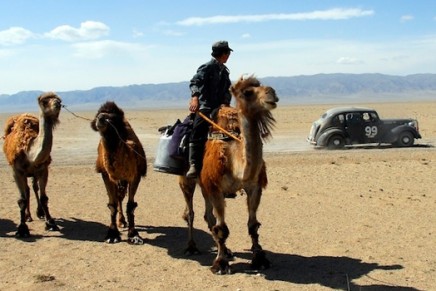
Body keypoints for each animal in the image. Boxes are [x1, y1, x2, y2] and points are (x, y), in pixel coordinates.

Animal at [2, 92, 62, 238]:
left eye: (59, 99)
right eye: (44, 101)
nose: (57, 103)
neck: (29, 153)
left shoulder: (43, 169)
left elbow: (44, 197)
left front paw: (50, 223)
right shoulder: (16, 171)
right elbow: (21, 200)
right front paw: (22, 228)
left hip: (33, 173)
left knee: (34, 188)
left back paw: (39, 213)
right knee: (27, 191)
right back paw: (28, 216)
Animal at [91, 101, 147, 245]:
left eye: (112, 118)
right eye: (98, 115)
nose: (100, 119)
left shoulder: (135, 175)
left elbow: (131, 205)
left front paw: (134, 235)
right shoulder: (106, 174)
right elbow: (112, 204)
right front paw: (112, 234)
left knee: (121, 197)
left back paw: (123, 222)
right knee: (118, 197)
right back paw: (121, 222)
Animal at [178, 76, 278, 276]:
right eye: (248, 92)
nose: (272, 93)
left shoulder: (254, 187)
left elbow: (253, 225)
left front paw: (260, 259)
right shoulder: (216, 187)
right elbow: (222, 228)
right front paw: (220, 264)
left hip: (205, 185)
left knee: (208, 216)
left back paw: (226, 250)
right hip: (187, 180)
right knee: (190, 213)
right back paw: (192, 247)